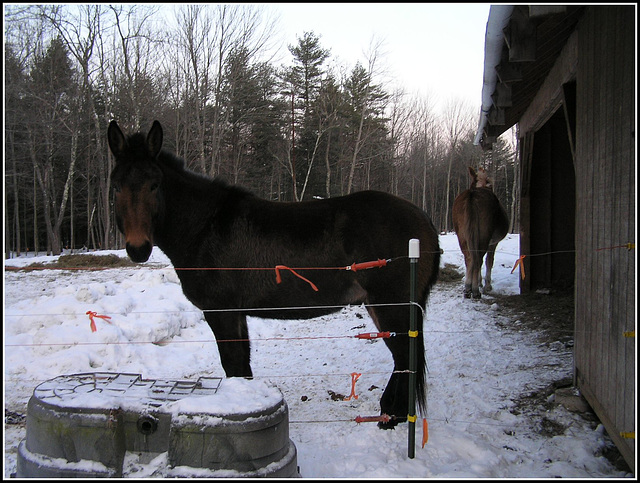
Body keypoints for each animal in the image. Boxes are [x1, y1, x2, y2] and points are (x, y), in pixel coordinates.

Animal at [107, 120, 442, 428]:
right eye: (116, 186)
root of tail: (424, 219)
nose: (138, 248)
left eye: (154, 185)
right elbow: (242, 367)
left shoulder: (221, 312)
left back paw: (391, 417)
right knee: (403, 360)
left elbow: (232, 364)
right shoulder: (236, 314)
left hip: (392, 307)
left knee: (405, 358)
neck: (204, 227)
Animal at [450, 168, 510, 300]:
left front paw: (479, 282)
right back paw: (475, 291)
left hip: (462, 236)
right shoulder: (493, 243)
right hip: (483, 236)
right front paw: (486, 285)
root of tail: (472, 194)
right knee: (477, 259)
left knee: (469, 258)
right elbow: (488, 261)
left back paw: (468, 288)